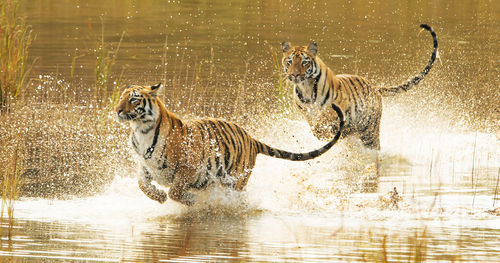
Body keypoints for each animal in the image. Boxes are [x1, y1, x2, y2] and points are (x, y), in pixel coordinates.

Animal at [115, 82, 344, 206]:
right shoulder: (146, 165)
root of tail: (251, 138)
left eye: (134, 99)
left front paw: (189, 201)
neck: (141, 130)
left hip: (235, 180)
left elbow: (176, 191)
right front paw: (159, 196)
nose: (117, 110)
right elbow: (142, 184)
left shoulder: (189, 167)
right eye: (121, 97)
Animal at [282, 23, 438, 150]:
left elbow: (326, 116)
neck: (306, 88)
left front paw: (324, 128)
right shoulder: (306, 112)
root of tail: (375, 87)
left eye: (304, 62)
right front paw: (322, 132)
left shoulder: (340, 103)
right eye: (289, 62)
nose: (294, 75)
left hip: (370, 133)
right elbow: (314, 126)